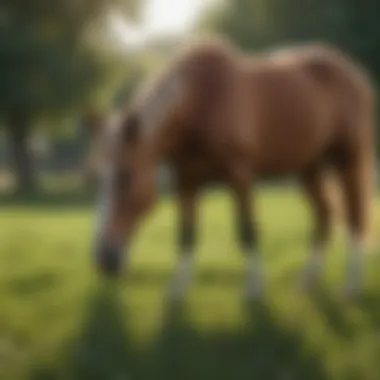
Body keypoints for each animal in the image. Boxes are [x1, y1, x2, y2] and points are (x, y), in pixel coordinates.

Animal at [85, 37, 374, 302]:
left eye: (126, 177)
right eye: (97, 180)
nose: (104, 260)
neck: (199, 103)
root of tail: (352, 73)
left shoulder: (240, 176)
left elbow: (247, 230)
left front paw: (254, 289)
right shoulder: (186, 182)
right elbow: (186, 233)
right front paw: (177, 290)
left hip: (347, 161)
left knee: (355, 216)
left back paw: (350, 287)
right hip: (309, 168)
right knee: (324, 215)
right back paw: (308, 281)